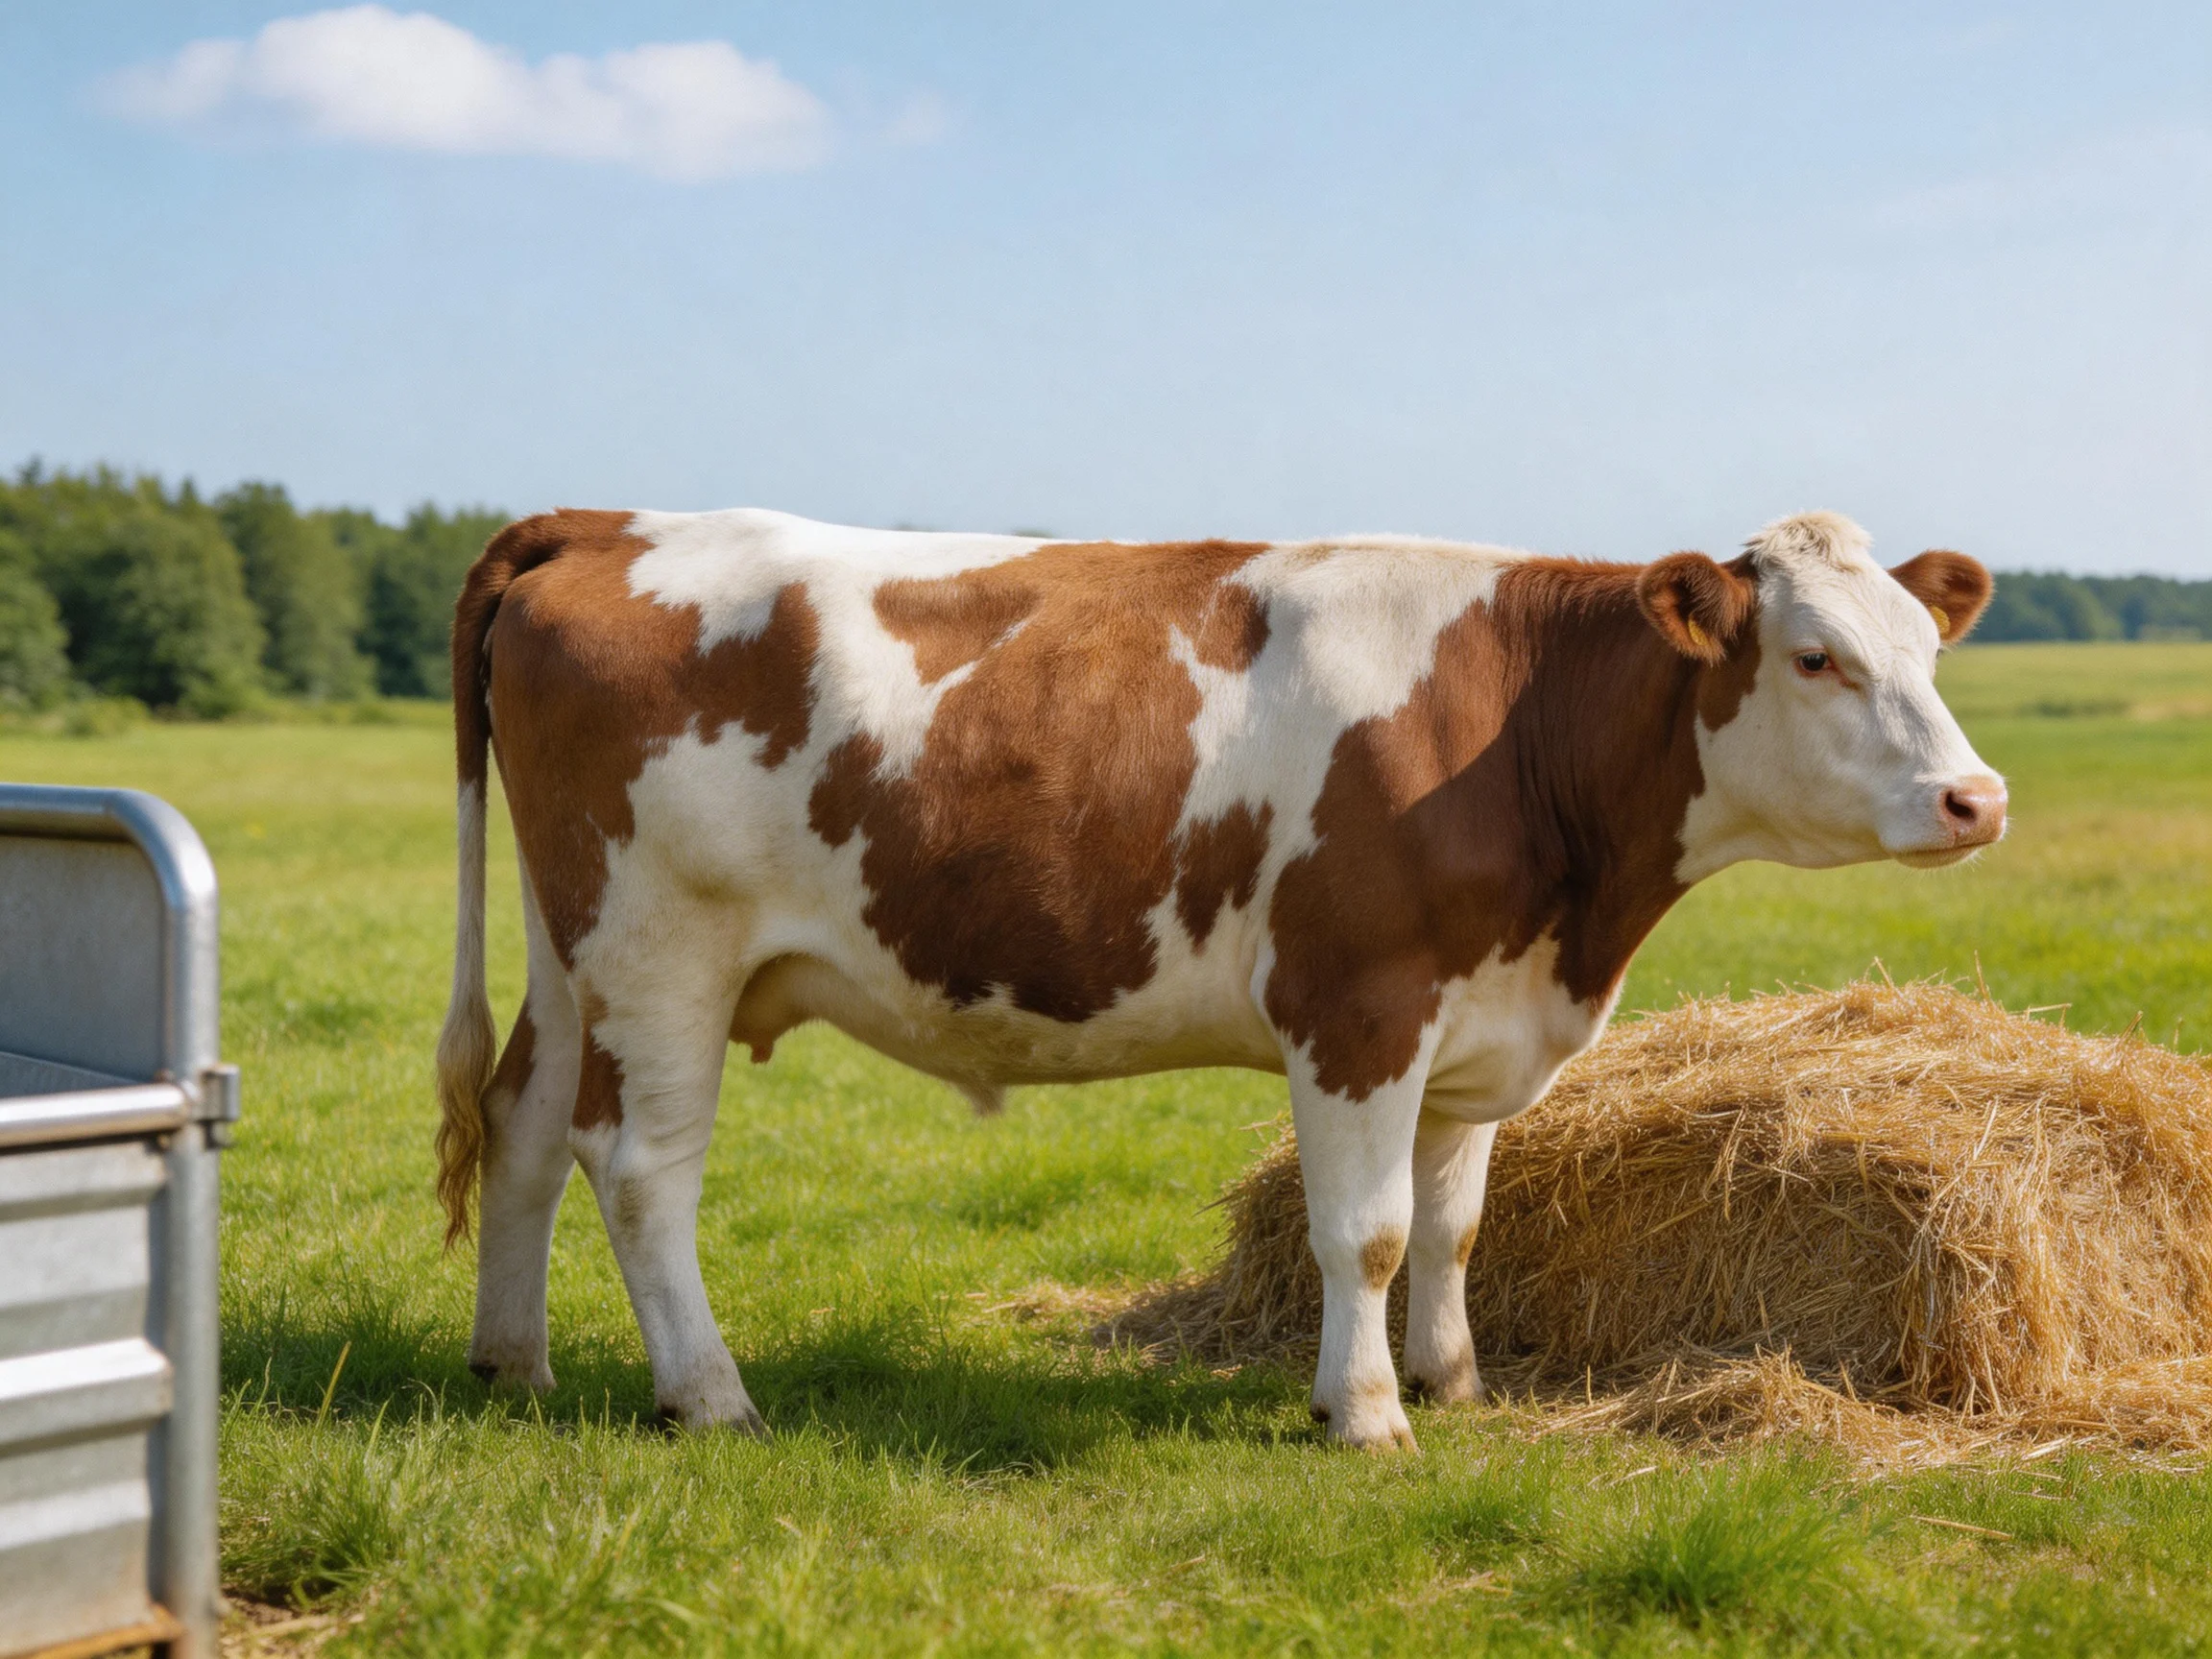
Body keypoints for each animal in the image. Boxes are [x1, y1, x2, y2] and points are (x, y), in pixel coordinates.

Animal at [434, 507, 2001, 1450]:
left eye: (1930, 648)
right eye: (1814, 656)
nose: (1976, 800)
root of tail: (611, 523)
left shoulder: (1476, 1026)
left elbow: (1453, 1226)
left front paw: (1453, 1380)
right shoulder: (1359, 1007)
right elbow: (1364, 1232)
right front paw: (1365, 1415)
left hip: (574, 951)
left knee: (524, 1127)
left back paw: (513, 1362)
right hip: (662, 950)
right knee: (639, 1166)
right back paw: (710, 1397)